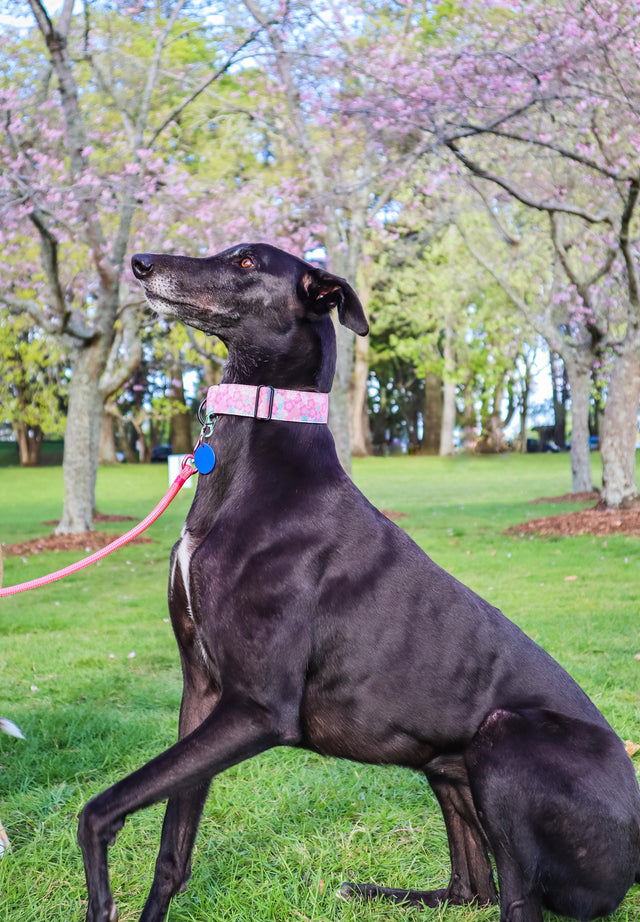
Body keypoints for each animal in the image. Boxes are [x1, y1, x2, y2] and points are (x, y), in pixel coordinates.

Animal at [79, 243, 640, 920]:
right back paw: (378, 890)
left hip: (504, 740)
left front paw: (100, 896)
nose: (139, 263)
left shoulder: (259, 708)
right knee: (470, 889)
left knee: (516, 900)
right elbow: (172, 851)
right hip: (447, 768)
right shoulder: (204, 689)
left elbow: (99, 808)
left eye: (245, 262)